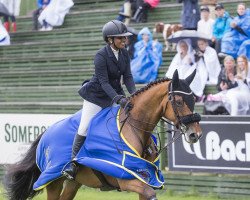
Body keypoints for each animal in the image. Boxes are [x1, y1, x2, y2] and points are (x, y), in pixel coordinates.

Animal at [3, 69, 202, 199]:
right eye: (178, 101)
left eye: (194, 99)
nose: (195, 135)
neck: (134, 128)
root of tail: (45, 135)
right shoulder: (127, 179)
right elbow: (150, 194)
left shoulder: (145, 178)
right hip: (53, 180)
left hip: (74, 183)